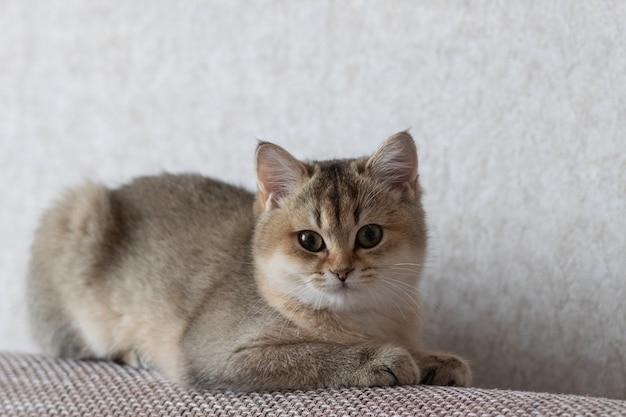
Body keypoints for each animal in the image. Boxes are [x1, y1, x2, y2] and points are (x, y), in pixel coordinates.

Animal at [26, 132, 470, 390]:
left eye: (370, 235)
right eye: (309, 240)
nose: (342, 271)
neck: (361, 321)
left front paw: (434, 360)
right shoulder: (215, 354)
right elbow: (312, 355)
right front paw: (385, 358)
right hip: (78, 211)